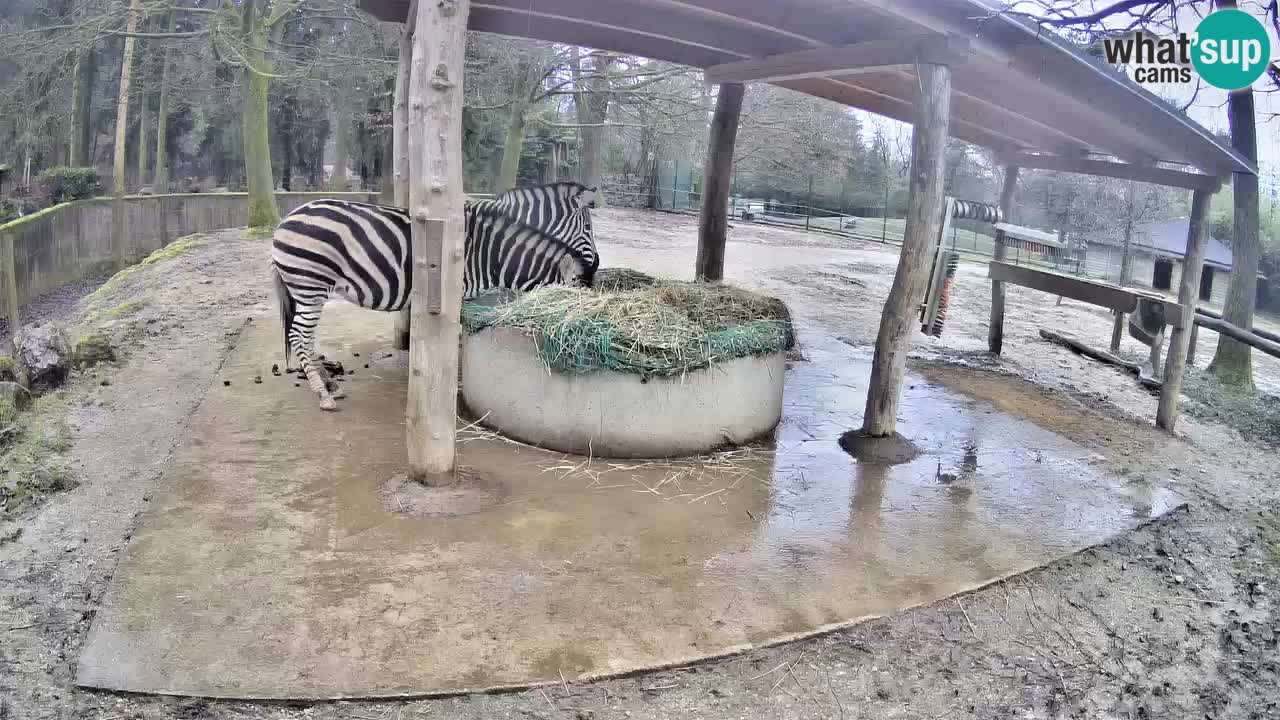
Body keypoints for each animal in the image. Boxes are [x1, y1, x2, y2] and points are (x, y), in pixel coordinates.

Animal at [271, 198, 595, 411]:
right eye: (574, 300)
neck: (491, 254)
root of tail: (285, 219)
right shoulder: (459, 293)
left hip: (307, 289)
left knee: (305, 337)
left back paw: (331, 387)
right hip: (310, 283)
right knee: (298, 336)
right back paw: (323, 395)